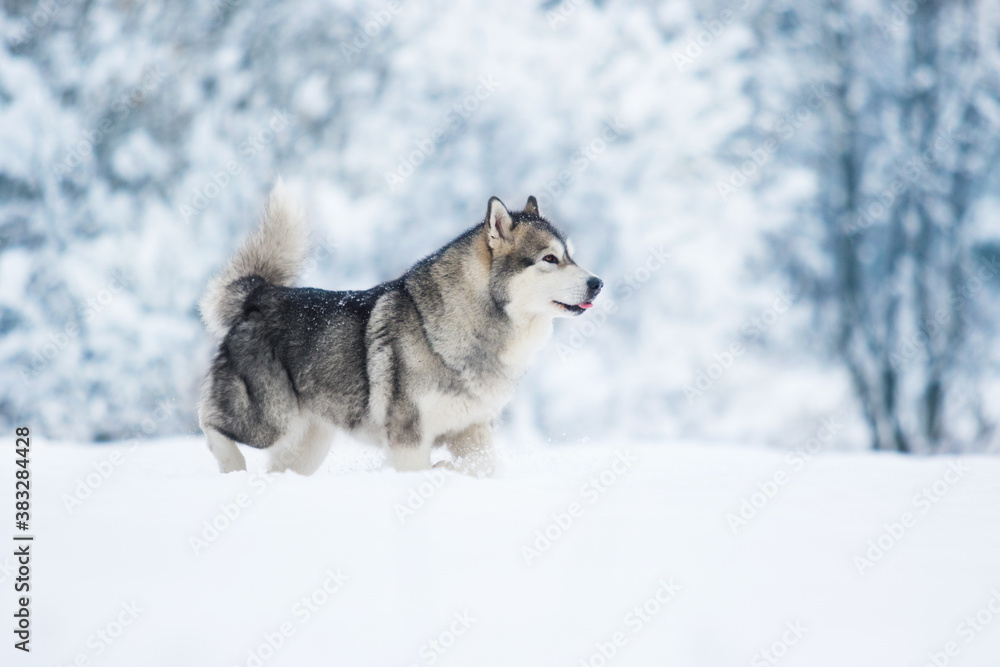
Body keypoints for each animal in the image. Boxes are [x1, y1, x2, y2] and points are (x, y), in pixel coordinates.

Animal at [196, 183, 600, 474]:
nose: (597, 283)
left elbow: (483, 467)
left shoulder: (472, 430)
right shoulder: (409, 439)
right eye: (550, 258)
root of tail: (260, 294)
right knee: (208, 420)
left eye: (570, 256)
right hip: (270, 421)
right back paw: (232, 467)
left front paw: (451, 471)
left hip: (307, 443)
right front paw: (440, 471)